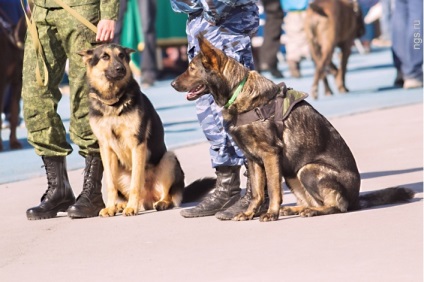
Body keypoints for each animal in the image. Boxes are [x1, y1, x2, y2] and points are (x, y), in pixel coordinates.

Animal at [79, 43, 186, 216]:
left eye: (121, 55)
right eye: (105, 56)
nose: (120, 69)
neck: (113, 102)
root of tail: (148, 198)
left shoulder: (137, 144)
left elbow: (136, 181)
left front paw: (131, 208)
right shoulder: (106, 148)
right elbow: (110, 185)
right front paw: (110, 207)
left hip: (169, 158)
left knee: (168, 194)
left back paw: (160, 203)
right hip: (118, 171)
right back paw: (121, 205)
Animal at [171, 34, 414, 221]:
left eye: (191, 68)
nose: (172, 83)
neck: (238, 92)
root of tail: (356, 198)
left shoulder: (270, 155)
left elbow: (273, 190)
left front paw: (271, 213)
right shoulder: (253, 159)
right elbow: (257, 192)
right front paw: (249, 213)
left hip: (307, 169)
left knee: (338, 206)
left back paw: (313, 211)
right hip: (291, 173)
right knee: (313, 201)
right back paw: (299, 208)